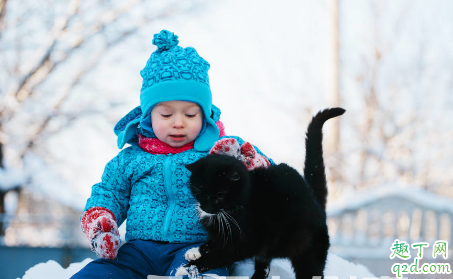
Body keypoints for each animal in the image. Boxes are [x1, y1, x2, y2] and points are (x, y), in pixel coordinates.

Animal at [185, 107, 344, 279]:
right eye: (200, 190)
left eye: (220, 195)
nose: (205, 208)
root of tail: (315, 202)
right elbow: (215, 242)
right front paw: (195, 251)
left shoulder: (249, 242)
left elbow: (219, 255)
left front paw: (190, 267)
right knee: (263, 267)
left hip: (308, 253)